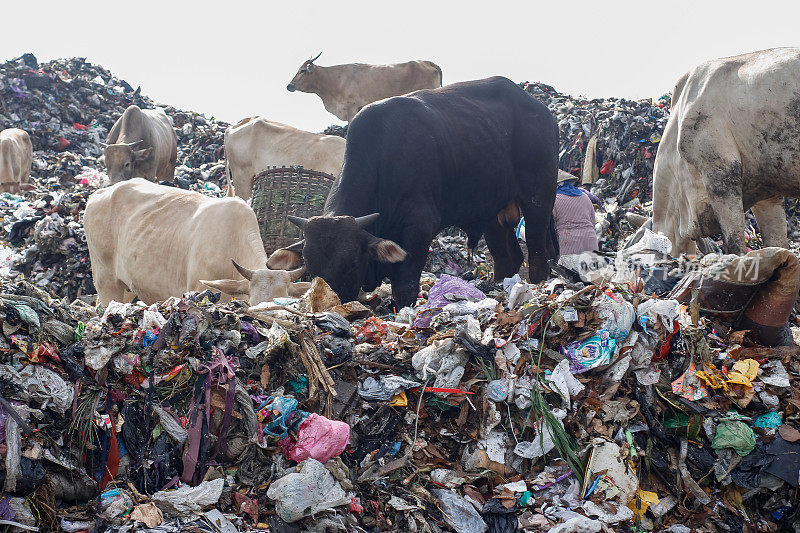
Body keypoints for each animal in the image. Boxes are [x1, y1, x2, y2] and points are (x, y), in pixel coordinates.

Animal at [268, 75, 556, 308]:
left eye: (352, 263)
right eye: (310, 267)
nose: (329, 305)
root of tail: (541, 109)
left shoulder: (420, 227)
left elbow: (405, 287)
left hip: (539, 197)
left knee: (537, 253)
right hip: (493, 213)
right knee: (508, 258)